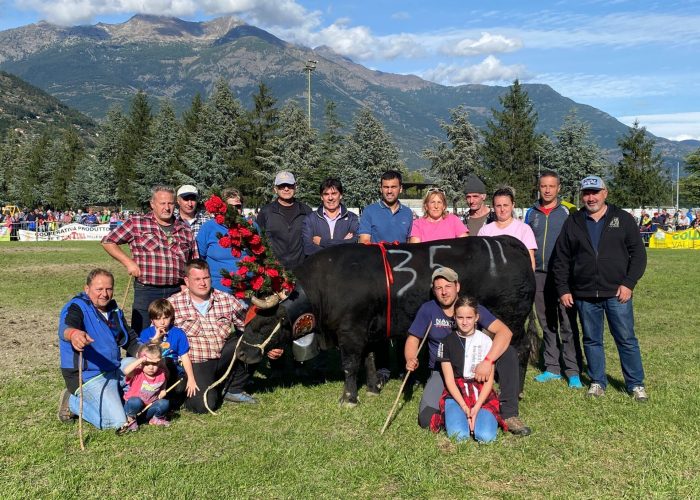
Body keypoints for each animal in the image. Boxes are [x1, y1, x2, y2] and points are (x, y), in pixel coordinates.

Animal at [241, 235, 536, 406]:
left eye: (262, 324)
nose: (241, 353)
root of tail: (508, 242)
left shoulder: (351, 332)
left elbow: (350, 365)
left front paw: (348, 398)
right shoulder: (369, 330)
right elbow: (370, 360)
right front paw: (372, 389)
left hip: (511, 321)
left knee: (520, 351)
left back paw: (516, 390)